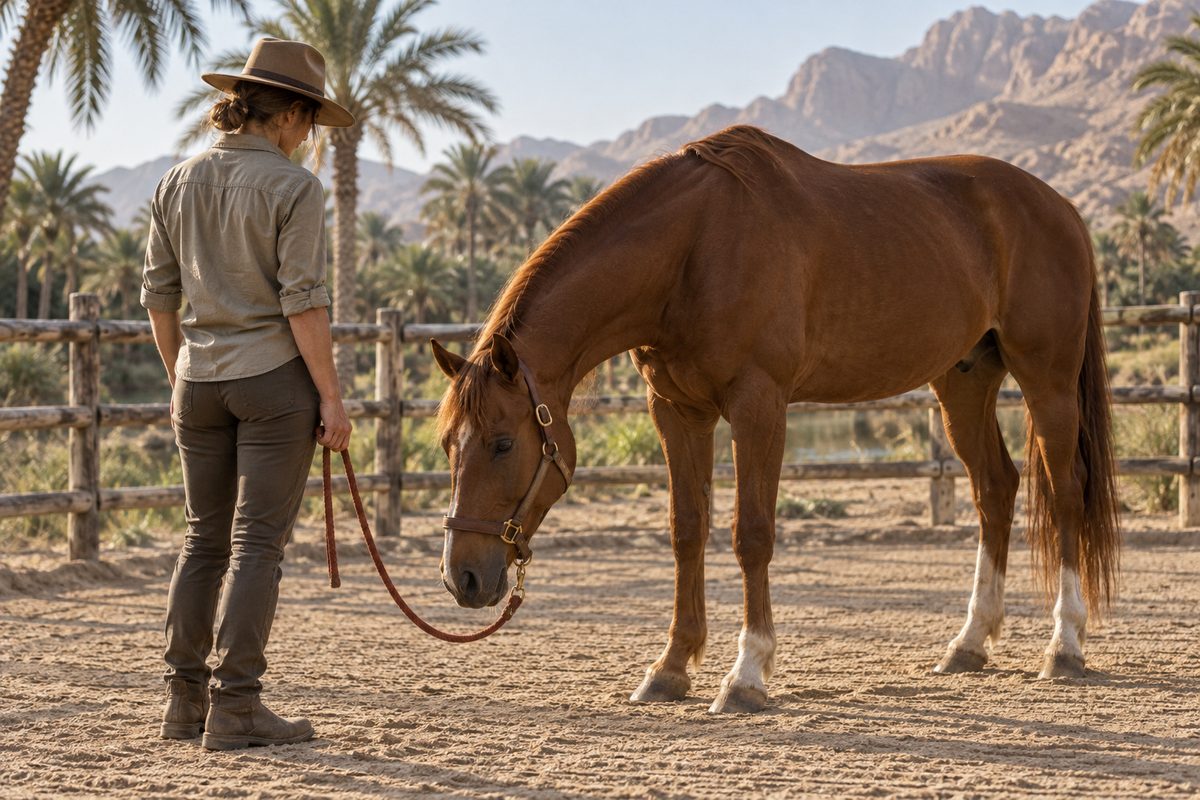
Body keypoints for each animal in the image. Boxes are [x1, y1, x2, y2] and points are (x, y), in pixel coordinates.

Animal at [429, 125, 1120, 713]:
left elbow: (751, 534)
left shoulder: (758, 405)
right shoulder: (676, 411)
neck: (693, 248)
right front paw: (670, 668)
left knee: (1066, 491)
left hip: (1047, 381)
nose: (463, 577)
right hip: (963, 383)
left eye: (501, 443)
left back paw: (1064, 646)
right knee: (994, 489)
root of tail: (1059, 206)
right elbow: (687, 530)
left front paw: (747, 675)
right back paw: (970, 644)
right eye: (446, 447)